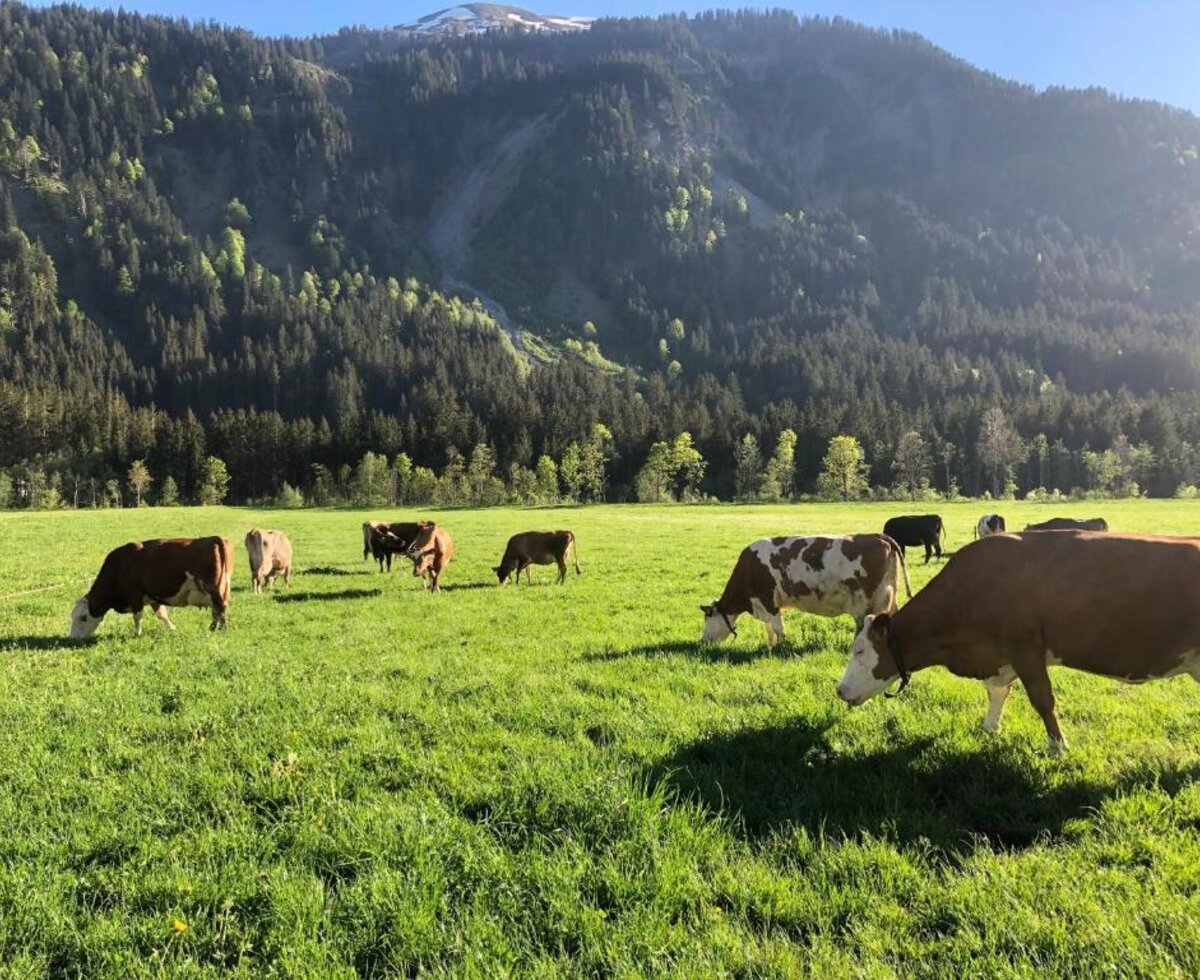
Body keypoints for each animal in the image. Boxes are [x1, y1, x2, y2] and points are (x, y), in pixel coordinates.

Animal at [69, 537, 234, 639]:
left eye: (83, 617)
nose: (73, 638)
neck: (120, 567)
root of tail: (213, 538)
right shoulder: (154, 597)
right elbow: (162, 614)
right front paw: (172, 628)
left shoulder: (135, 596)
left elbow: (137, 616)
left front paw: (137, 634)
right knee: (216, 611)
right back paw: (212, 629)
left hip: (213, 590)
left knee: (221, 609)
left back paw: (223, 631)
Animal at [700, 535, 911, 645]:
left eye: (707, 618)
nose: (703, 641)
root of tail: (878, 536)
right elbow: (769, 629)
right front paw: (771, 645)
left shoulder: (768, 600)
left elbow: (777, 627)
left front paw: (782, 646)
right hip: (889, 595)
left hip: (866, 600)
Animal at [836, 531, 1200, 754]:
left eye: (859, 651)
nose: (839, 691)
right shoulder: (998, 656)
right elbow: (997, 692)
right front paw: (989, 727)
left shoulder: (1025, 648)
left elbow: (1042, 700)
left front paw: (1058, 746)